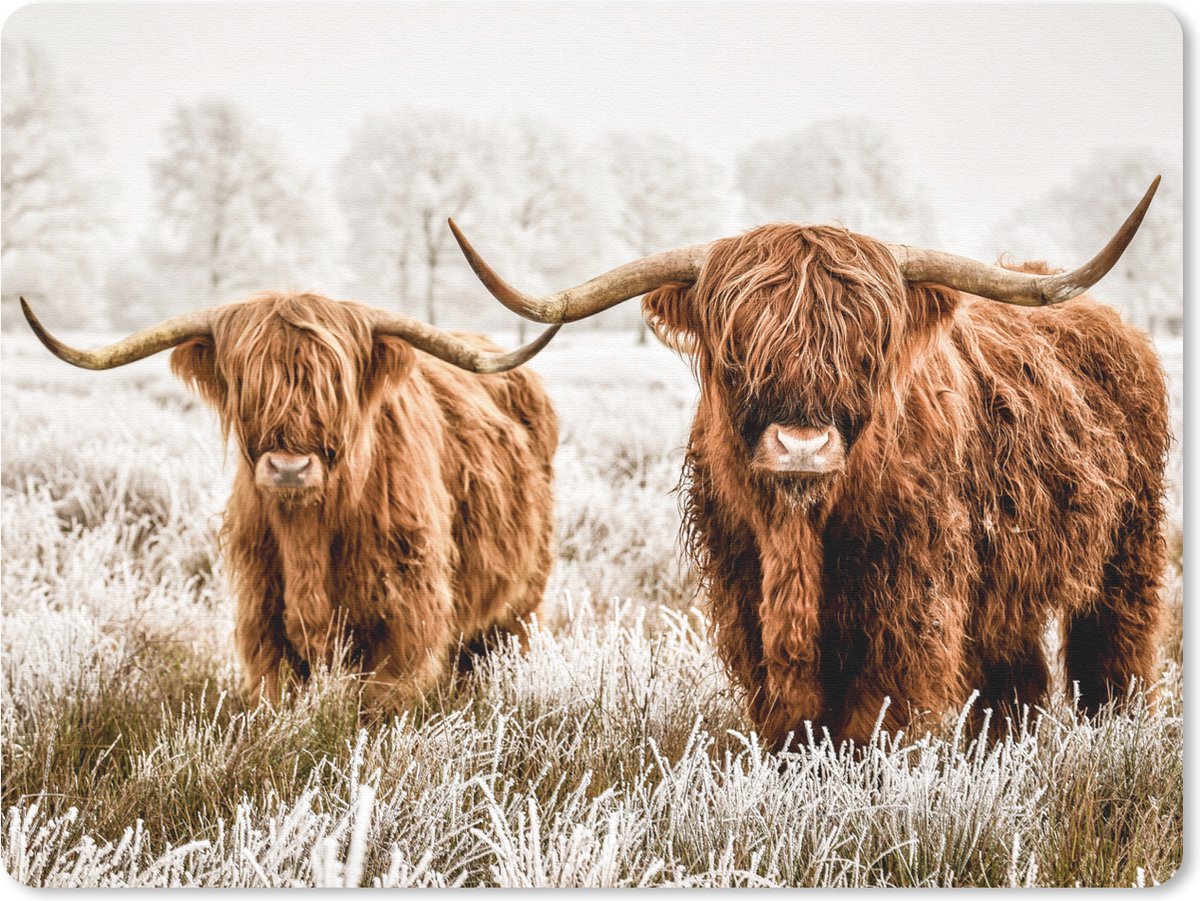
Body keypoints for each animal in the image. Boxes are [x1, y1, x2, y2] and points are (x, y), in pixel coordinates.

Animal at [22, 292, 560, 710]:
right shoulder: (263, 618)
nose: (288, 468)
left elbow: (382, 705)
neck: (309, 535)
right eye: (247, 384)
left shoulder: (406, 618)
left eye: (334, 385)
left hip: (521, 602)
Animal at [447, 177, 1169, 748]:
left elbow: (874, 718)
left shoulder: (910, 603)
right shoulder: (745, 594)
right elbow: (790, 717)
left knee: (1112, 654)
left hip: (1128, 550)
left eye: (866, 348)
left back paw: (1114, 734)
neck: (801, 533)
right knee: (1016, 679)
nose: (802, 447)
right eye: (738, 349)